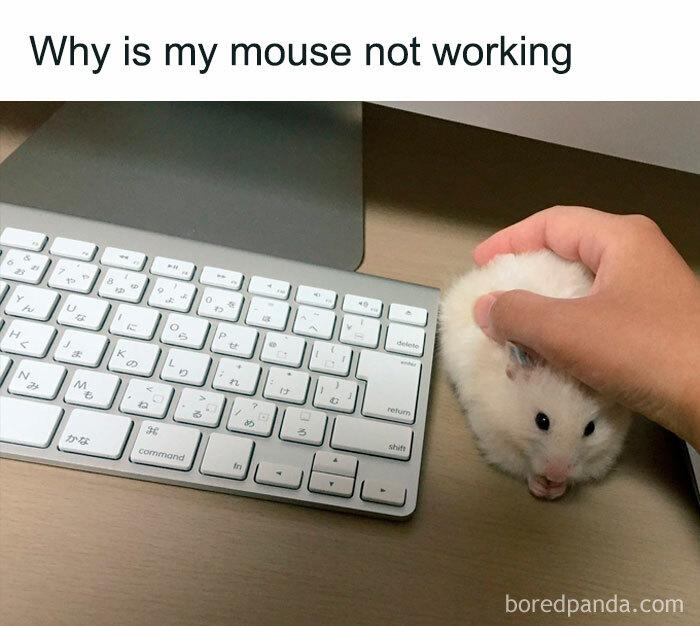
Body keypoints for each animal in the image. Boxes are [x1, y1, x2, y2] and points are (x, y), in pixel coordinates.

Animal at [440, 250, 631, 499]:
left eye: (590, 429)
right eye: (541, 421)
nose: (556, 474)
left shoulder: (608, 447)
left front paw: (555, 490)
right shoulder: (494, 434)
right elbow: (521, 466)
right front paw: (541, 487)